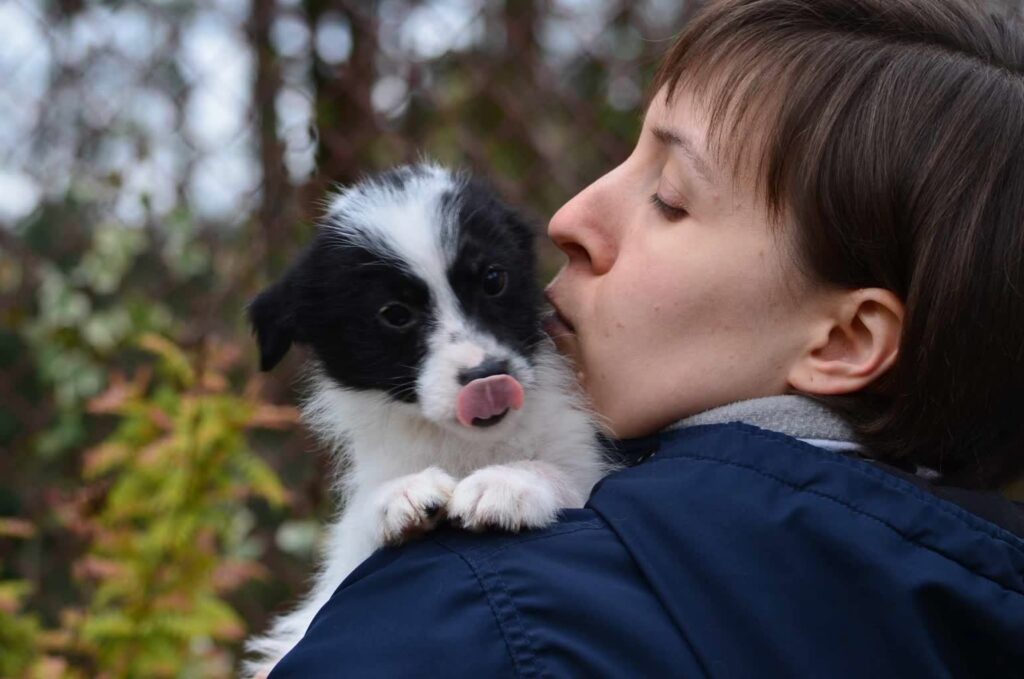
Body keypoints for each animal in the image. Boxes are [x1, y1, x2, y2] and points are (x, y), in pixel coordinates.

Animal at [241, 163, 606, 675]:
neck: (468, 445)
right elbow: (359, 527)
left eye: (493, 279)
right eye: (395, 314)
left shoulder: (582, 455)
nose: (487, 378)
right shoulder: (348, 556)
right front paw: (402, 494)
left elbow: (563, 471)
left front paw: (508, 482)